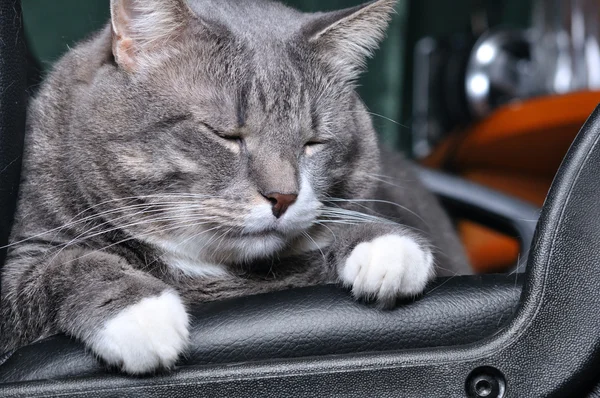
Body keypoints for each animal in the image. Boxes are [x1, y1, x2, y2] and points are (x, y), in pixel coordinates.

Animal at [0, 0, 468, 374]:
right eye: (225, 134)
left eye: (313, 143)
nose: (283, 197)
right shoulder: (18, 266)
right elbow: (67, 264)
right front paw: (142, 314)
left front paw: (386, 245)